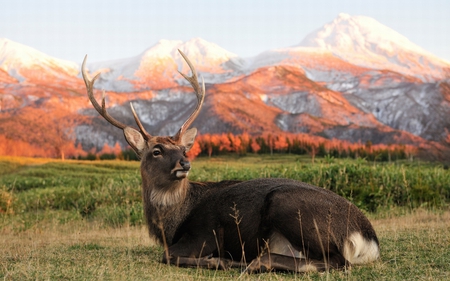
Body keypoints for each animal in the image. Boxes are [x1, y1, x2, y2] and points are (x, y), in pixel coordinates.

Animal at [81, 49, 380, 272]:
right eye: (156, 151)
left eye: (183, 150)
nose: (184, 164)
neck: (171, 224)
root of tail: (368, 238)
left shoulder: (203, 234)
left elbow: (167, 256)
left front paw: (218, 260)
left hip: (288, 205)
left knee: (336, 261)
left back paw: (247, 262)